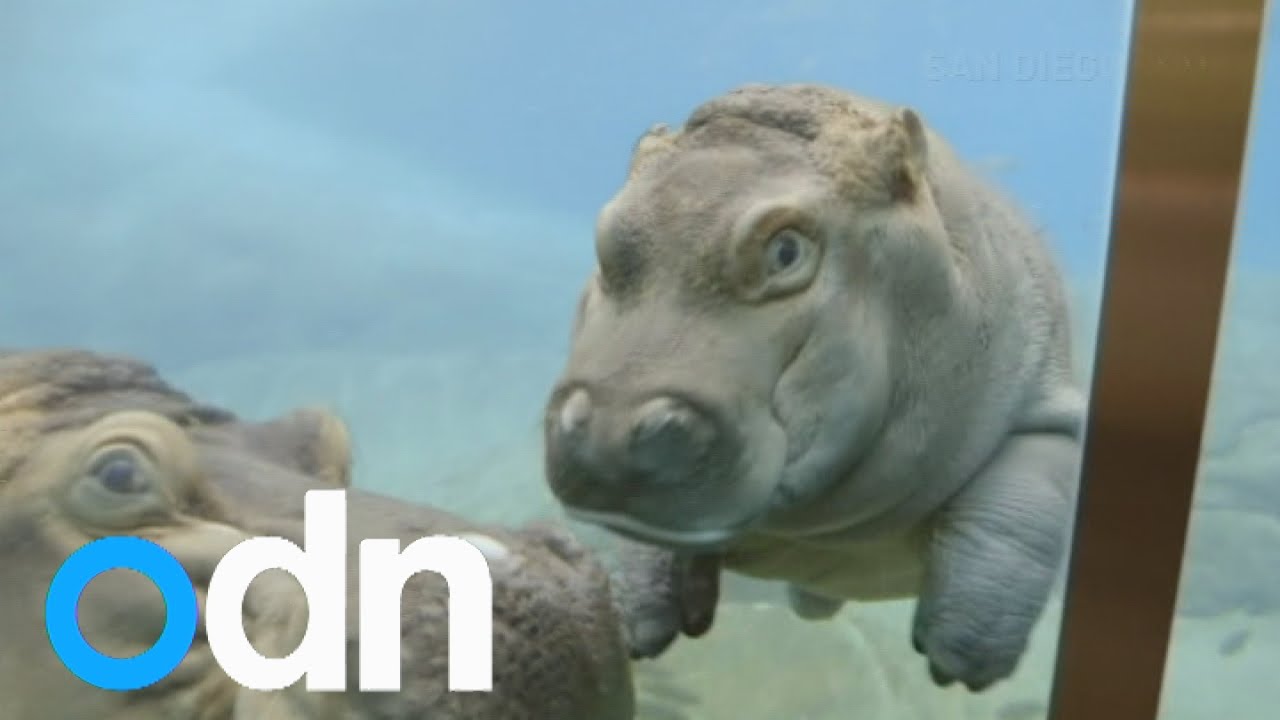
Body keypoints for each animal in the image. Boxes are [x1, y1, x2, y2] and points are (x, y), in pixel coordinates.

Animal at [542, 83, 1087, 691]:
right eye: (605, 239)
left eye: (786, 251)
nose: (609, 429)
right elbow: (644, 545)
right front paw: (641, 627)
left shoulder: (1046, 409)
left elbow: (1015, 517)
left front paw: (959, 662)